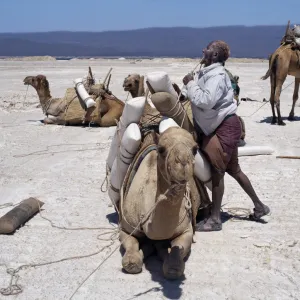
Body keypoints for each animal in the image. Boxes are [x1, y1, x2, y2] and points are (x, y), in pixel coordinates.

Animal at [118, 126, 205, 278]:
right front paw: (137, 257)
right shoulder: (126, 229)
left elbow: (173, 265)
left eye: (195, 149)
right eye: (161, 149)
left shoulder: (186, 231)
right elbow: (131, 258)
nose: (183, 161)